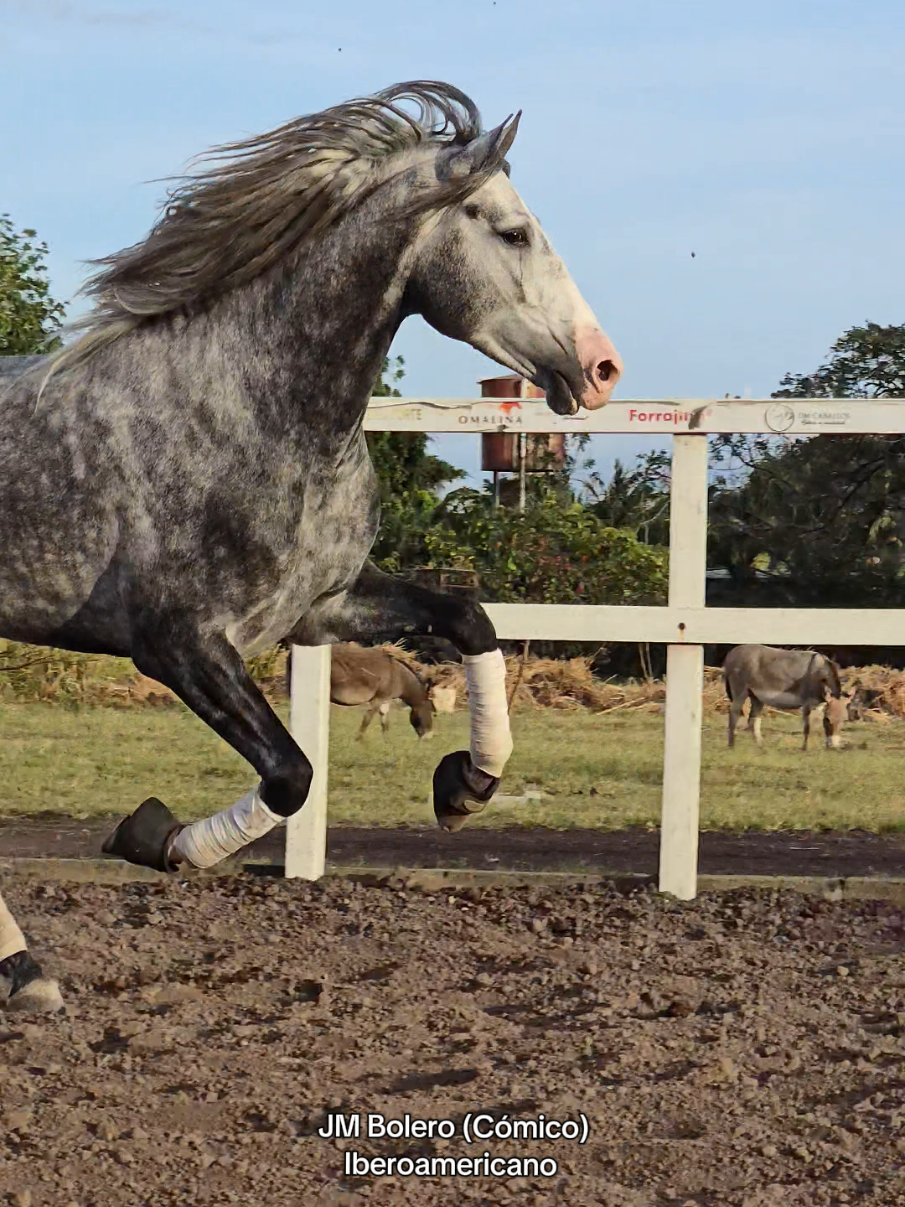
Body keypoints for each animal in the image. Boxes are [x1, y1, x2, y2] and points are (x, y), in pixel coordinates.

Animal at [0, 80, 622, 1013]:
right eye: (513, 231)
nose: (602, 368)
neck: (254, 409)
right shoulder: (176, 643)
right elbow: (292, 775)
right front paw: (157, 836)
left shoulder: (322, 608)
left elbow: (468, 618)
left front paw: (464, 786)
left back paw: (24, 971)